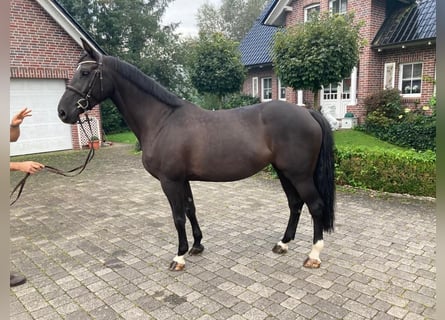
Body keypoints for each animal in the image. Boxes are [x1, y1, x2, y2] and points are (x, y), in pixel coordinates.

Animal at [58, 39, 332, 270]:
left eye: (85, 73)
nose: (62, 112)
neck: (162, 120)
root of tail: (308, 112)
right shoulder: (183, 179)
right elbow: (191, 209)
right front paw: (197, 245)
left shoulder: (169, 181)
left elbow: (178, 216)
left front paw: (179, 256)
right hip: (284, 172)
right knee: (295, 204)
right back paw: (283, 243)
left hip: (299, 175)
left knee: (315, 205)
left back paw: (314, 255)